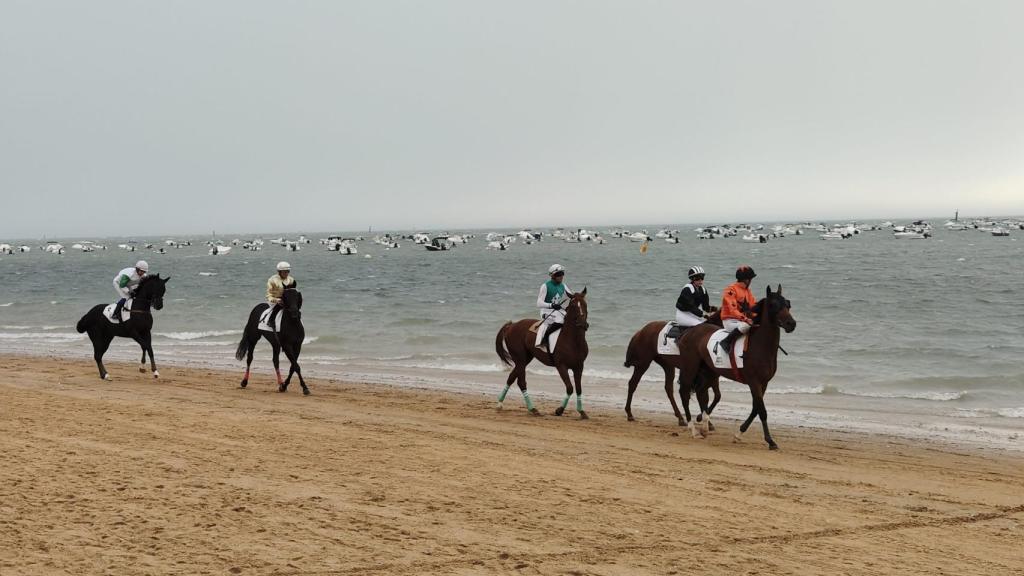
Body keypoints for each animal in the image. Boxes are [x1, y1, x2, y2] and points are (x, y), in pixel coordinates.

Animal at [497, 286, 593, 416]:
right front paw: (559, 410)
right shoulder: (561, 366)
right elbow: (570, 388)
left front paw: (582, 411)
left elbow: (578, 389)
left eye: (584, 304)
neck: (573, 340)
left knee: (511, 377)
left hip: (525, 359)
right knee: (521, 382)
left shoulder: (579, 366)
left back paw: (500, 403)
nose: (583, 324)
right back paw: (532, 408)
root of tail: (511, 325)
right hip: (520, 358)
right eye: (573, 305)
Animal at [679, 284, 798, 450]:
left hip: (709, 371)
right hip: (690, 368)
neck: (760, 346)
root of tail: (690, 331)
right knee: (684, 393)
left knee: (701, 392)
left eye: (788, 304)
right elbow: (762, 410)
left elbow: (755, 409)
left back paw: (704, 425)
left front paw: (739, 433)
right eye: (773, 305)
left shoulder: (764, 383)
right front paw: (770, 441)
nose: (791, 324)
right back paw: (693, 429)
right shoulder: (754, 381)